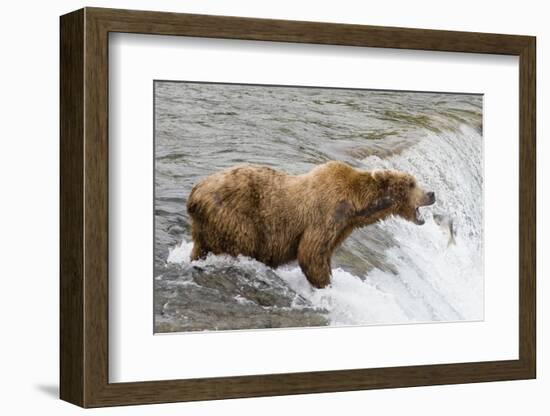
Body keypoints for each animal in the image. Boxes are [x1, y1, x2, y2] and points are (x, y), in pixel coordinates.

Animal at [188, 161, 438, 288]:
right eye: (411, 183)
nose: (432, 193)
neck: (357, 206)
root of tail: (195, 193)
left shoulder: (342, 227)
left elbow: (323, 253)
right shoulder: (325, 215)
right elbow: (311, 253)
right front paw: (325, 285)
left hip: (206, 227)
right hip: (235, 216)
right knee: (243, 242)